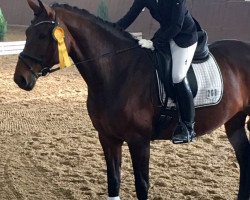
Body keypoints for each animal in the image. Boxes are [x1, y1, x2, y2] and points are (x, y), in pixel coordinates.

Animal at [13, 0, 250, 199]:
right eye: (28, 32)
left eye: (43, 35)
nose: (20, 79)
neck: (117, 73)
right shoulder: (107, 137)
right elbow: (113, 182)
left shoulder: (139, 141)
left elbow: (141, 186)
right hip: (235, 122)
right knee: (244, 157)